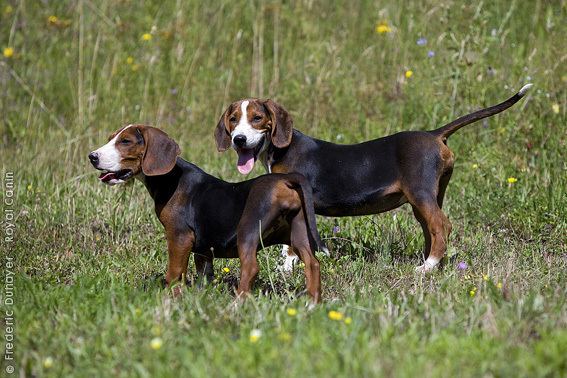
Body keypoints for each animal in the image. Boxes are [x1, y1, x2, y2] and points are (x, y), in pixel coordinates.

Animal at [89, 125, 324, 302]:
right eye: (111, 139)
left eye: (125, 141)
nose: (92, 157)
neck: (170, 178)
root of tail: (286, 179)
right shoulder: (203, 250)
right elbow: (204, 275)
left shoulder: (179, 237)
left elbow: (174, 273)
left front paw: (171, 300)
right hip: (297, 232)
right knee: (312, 264)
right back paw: (312, 304)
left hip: (247, 231)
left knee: (251, 268)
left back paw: (238, 304)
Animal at [215, 83, 536, 272]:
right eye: (233, 119)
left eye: (257, 118)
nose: (238, 140)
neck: (280, 149)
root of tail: (435, 135)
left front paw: (288, 266)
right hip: (428, 197)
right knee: (432, 230)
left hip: (420, 194)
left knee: (441, 226)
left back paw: (427, 267)